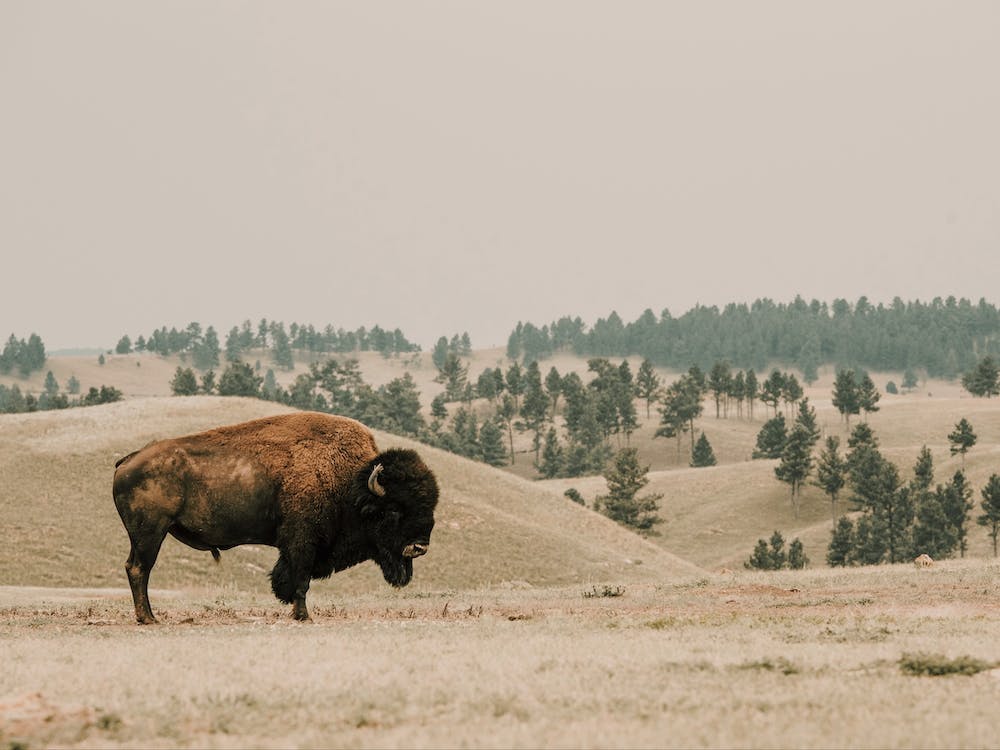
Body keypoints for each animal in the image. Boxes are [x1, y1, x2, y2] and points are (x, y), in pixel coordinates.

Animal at [112, 412, 438, 623]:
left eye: (429, 507)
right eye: (394, 509)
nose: (419, 547)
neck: (351, 482)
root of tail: (129, 459)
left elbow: (289, 578)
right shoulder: (302, 542)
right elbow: (301, 580)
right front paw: (303, 616)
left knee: (134, 568)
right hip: (150, 532)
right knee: (140, 569)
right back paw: (148, 618)